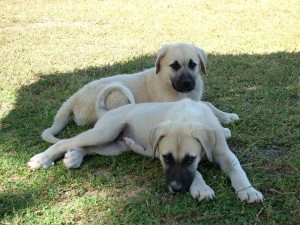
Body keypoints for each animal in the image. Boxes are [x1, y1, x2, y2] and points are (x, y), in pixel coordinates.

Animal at [28, 99, 262, 203]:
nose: (176, 189)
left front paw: (248, 190)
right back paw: (42, 159)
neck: (188, 116)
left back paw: (74, 157)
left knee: (85, 147)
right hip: (106, 132)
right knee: (65, 142)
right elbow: (197, 173)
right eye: (166, 158)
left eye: (189, 159)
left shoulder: (223, 152)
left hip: (114, 146)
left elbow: (237, 169)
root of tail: (107, 112)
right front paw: (202, 188)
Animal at [42, 42, 239, 142]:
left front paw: (226, 115)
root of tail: (73, 98)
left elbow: (207, 104)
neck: (166, 81)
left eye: (193, 64)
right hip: (117, 96)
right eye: (174, 66)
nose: (188, 83)